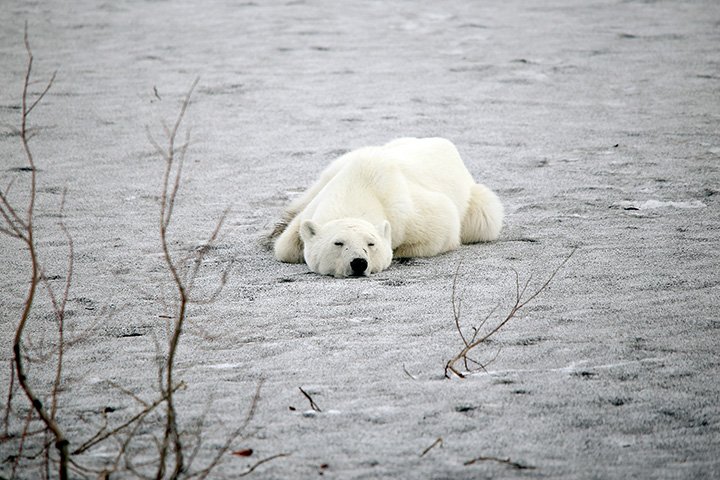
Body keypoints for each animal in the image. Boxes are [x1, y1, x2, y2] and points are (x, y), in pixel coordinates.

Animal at [268, 137, 504, 276]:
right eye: (338, 243)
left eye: (370, 243)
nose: (359, 263)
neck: (359, 187)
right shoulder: (321, 199)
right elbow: (285, 247)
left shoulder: (407, 211)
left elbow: (442, 226)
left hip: (476, 203)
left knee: (483, 219)